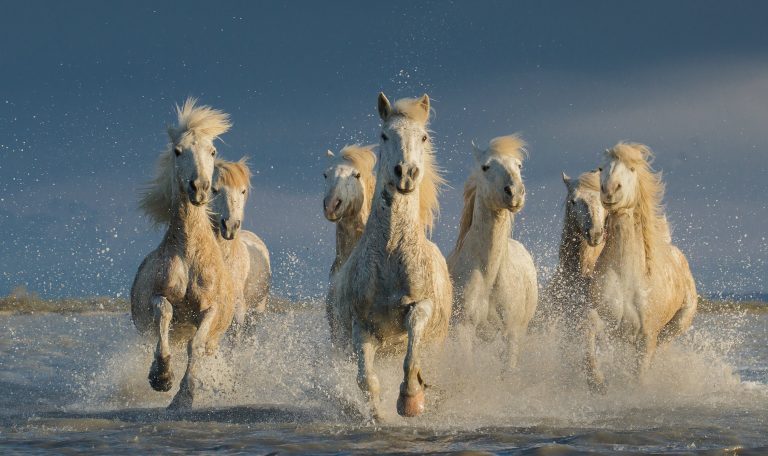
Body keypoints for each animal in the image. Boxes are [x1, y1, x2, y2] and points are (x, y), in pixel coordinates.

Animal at [132, 97, 236, 410]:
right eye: (178, 151)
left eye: (212, 151)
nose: (199, 188)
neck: (190, 255)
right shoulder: (159, 296)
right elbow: (164, 317)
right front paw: (162, 377)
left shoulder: (210, 309)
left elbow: (196, 345)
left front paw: (184, 397)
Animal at [332, 94, 452, 418]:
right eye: (384, 135)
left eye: (423, 137)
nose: (406, 173)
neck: (390, 253)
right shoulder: (362, 326)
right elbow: (366, 380)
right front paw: (377, 415)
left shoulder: (420, 306)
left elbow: (412, 358)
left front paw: (410, 399)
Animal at [448, 134, 536, 368]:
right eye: (486, 167)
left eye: (519, 165)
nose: (515, 192)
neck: (488, 273)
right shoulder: (463, 330)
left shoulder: (511, 334)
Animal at [588, 142, 696, 392]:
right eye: (601, 168)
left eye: (631, 168)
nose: (610, 190)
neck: (627, 276)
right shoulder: (607, 320)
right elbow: (591, 333)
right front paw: (596, 380)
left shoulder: (647, 336)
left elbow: (639, 374)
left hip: (675, 327)